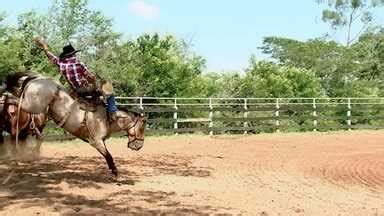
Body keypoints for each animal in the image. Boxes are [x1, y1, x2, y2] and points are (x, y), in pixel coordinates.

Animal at [3, 71, 146, 176]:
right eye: (142, 127)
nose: (138, 146)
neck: (107, 117)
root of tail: (38, 79)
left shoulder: (100, 141)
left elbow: (107, 155)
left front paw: (113, 170)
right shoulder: (96, 141)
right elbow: (108, 155)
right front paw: (115, 172)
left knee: (11, 97)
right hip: (31, 105)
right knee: (11, 99)